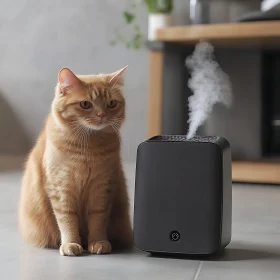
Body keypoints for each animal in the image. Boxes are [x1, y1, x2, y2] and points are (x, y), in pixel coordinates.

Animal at [18, 66, 132, 255]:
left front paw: (98, 241)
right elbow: (67, 219)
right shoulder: (61, 187)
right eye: (85, 104)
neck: (88, 147)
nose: (102, 114)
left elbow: (98, 218)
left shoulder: (102, 186)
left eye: (111, 103)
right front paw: (71, 243)